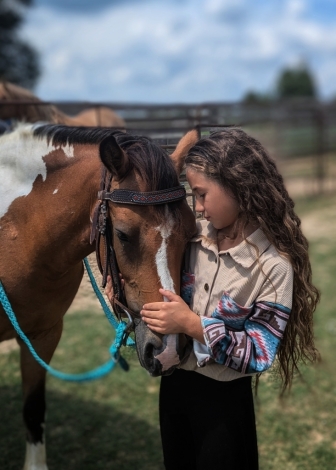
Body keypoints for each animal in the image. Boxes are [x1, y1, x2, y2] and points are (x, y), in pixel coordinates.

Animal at [0, 123, 198, 468]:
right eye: (122, 234)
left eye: (190, 232)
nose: (169, 350)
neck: (16, 234)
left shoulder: (43, 335)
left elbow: (34, 411)